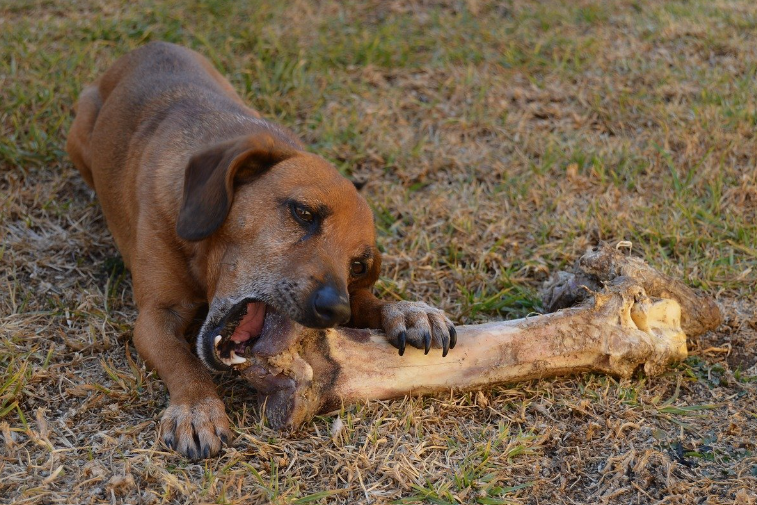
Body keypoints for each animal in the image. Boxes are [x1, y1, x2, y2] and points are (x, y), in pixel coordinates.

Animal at [66, 43, 454, 458]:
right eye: (303, 213)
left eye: (358, 265)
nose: (337, 311)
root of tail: (148, 47)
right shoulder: (155, 316)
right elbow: (183, 361)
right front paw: (197, 408)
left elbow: (369, 302)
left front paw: (407, 311)